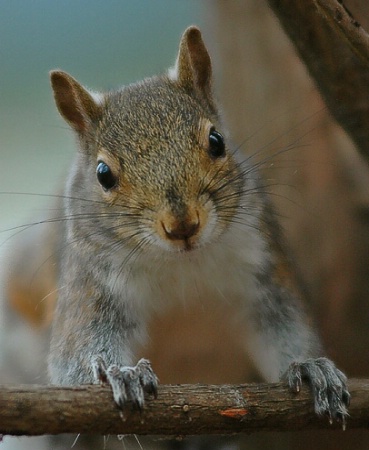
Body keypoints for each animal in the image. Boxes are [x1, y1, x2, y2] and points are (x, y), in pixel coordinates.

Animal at [2, 24, 348, 426]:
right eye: (103, 174)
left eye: (217, 141)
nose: (182, 225)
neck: (181, 265)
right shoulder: (89, 284)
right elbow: (73, 358)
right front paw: (123, 374)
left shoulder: (263, 268)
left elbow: (287, 329)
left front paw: (310, 368)